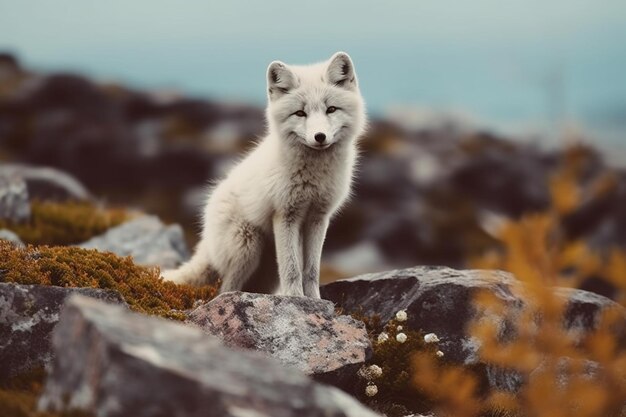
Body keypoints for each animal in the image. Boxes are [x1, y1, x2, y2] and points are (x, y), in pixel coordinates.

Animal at [161, 52, 366, 298]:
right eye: (300, 113)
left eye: (331, 109)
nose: (319, 136)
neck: (314, 176)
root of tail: (206, 239)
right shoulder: (285, 215)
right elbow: (292, 268)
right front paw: (295, 299)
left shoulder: (318, 217)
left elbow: (311, 270)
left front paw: (315, 300)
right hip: (248, 249)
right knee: (224, 288)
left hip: (265, 272)